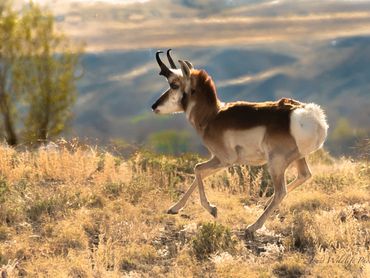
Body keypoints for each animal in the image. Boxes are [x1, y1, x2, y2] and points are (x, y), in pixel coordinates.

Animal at [152, 48, 328, 233]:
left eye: (173, 84)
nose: (154, 106)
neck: (212, 116)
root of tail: (309, 115)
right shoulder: (218, 159)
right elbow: (199, 173)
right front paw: (174, 208)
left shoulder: (225, 160)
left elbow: (197, 169)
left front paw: (212, 210)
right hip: (298, 158)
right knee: (304, 175)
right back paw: (264, 204)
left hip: (276, 164)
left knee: (282, 191)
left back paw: (253, 226)